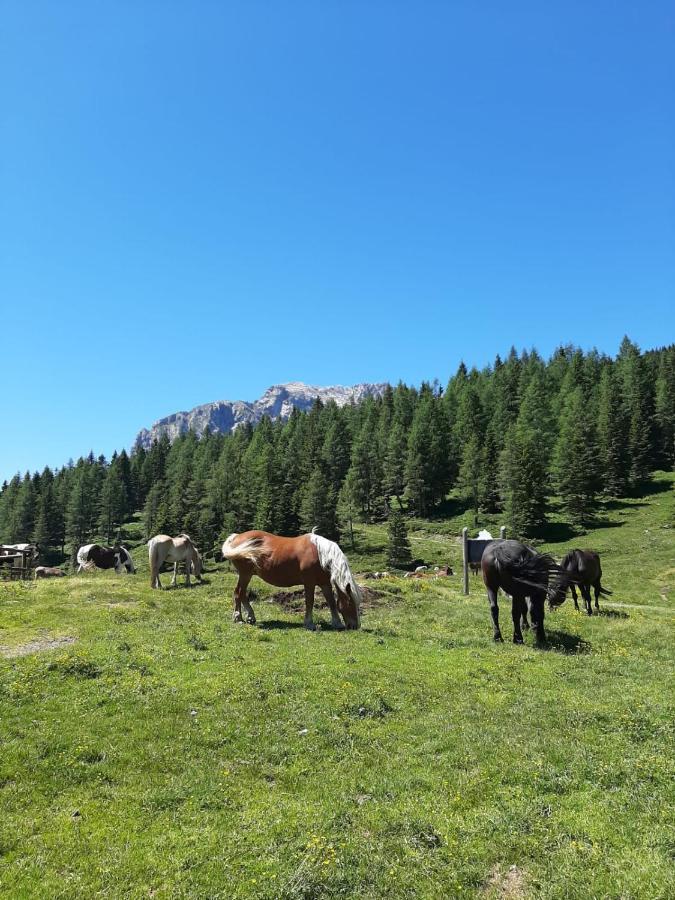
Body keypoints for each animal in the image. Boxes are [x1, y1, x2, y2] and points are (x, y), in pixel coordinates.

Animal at [222, 532, 362, 628]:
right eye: (351, 604)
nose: (355, 626)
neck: (320, 554)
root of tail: (237, 537)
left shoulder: (325, 583)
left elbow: (331, 602)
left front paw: (337, 623)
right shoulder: (309, 582)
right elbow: (310, 602)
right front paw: (309, 623)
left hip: (247, 575)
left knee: (242, 594)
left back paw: (250, 617)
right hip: (245, 574)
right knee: (238, 593)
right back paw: (238, 618)